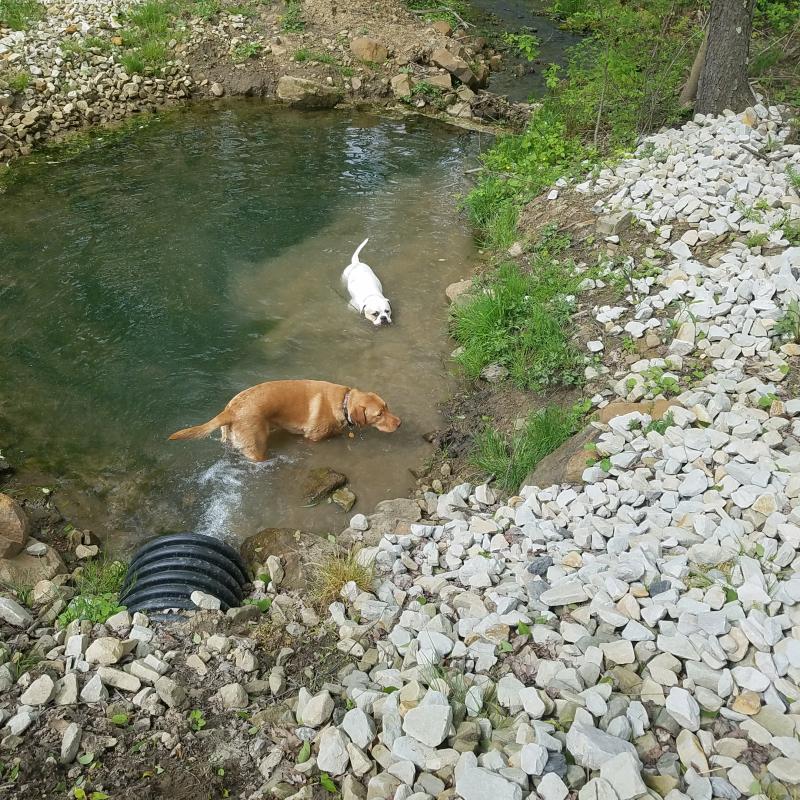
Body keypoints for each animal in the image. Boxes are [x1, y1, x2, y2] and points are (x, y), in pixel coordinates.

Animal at [168, 382, 400, 462]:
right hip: (257, 447)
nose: (399, 423)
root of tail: (230, 411)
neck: (344, 401)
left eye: (387, 406)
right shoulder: (312, 438)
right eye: (379, 414)